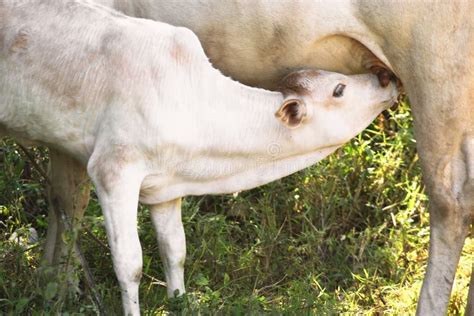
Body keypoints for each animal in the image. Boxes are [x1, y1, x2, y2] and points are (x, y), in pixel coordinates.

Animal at [43, 0, 474, 314]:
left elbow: (69, 194)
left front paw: (59, 287)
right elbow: (62, 194)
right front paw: (52, 281)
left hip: (435, 63)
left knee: (451, 202)